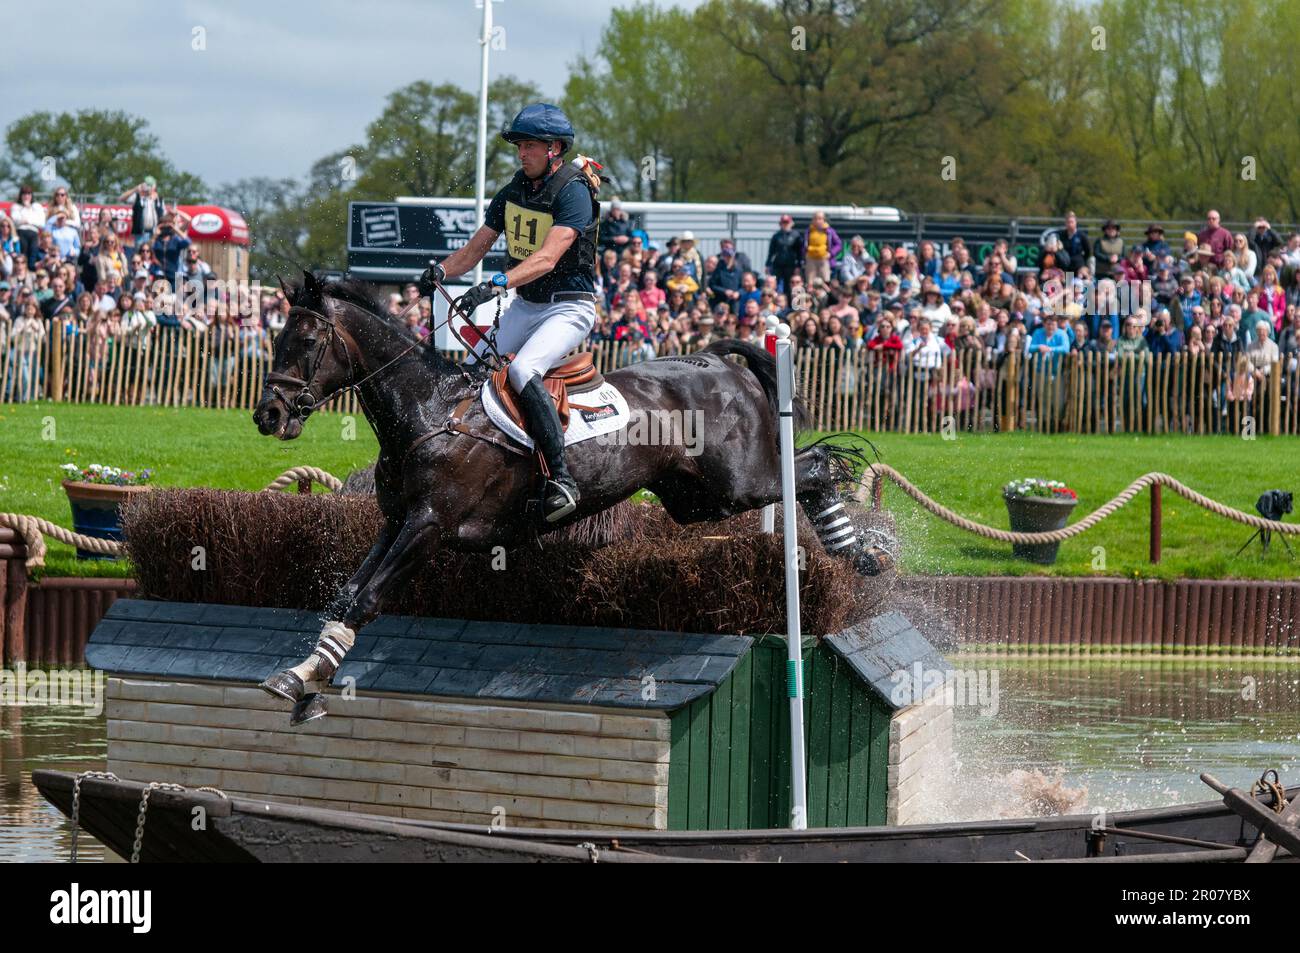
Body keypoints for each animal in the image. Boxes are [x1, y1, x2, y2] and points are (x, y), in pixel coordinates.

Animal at [250, 275, 894, 722]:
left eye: (305, 340)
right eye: (275, 337)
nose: (268, 415)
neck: (427, 413)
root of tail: (713, 358)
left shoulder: (429, 527)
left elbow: (367, 599)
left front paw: (307, 678)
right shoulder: (394, 523)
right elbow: (345, 596)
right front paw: (305, 677)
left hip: (737, 483)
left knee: (817, 467)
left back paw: (864, 552)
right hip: (694, 499)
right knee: (805, 472)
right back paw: (859, 551)